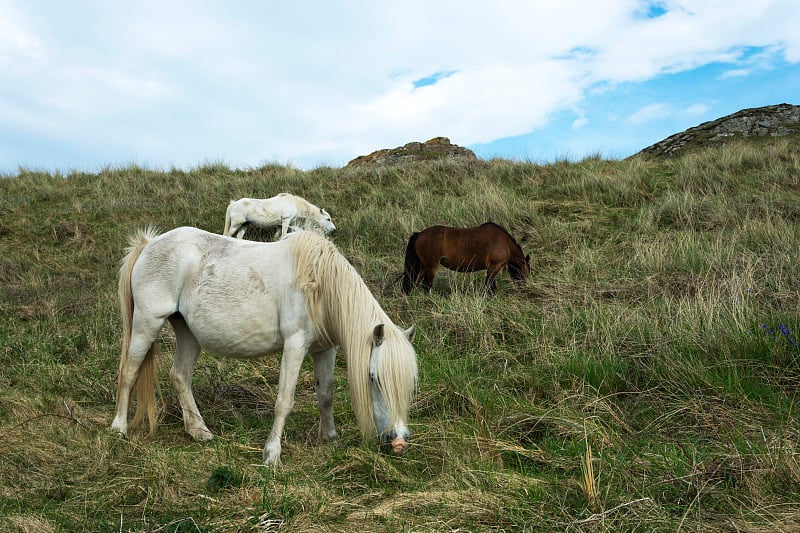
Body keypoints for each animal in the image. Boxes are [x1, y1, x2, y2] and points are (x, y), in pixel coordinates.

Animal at [111, 224, 418, 462]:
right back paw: (119, 428)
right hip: (147, 323)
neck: (318, 284)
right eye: (373, 378)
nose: (399, 441)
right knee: (129, 372)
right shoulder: (295, 345)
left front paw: (329, 437)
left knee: (180, 376)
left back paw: (198, 430)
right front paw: (272, 454)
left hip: (188, 333)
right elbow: (284, 401)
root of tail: (150, 244)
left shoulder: (325, 349)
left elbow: (326, 394)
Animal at [400, 222, 532, 294]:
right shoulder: (494, 267)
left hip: (423, 267)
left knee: (415, 283)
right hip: (431, 267)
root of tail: (419, 234)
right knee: (426, 286)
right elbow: (489, 285)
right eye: (526, 271)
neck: (504, 242)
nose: (524, 288)